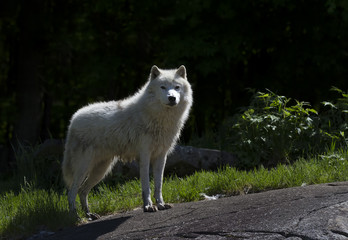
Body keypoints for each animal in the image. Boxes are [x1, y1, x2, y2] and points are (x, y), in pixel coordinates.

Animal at [62, 65, 193, 219]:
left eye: (177, 87)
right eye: (163, 87)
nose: (172, 98)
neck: (160, 118)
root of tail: (74, 119)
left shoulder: (161, 157)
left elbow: (158, 185)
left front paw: (161, 204)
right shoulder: (144, 156)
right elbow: (146, 186)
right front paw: (148, 206)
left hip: (101, 170)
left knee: (82, 191)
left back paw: (89, 214)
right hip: (84, 168)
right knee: (71, 192)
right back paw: (75, 216)